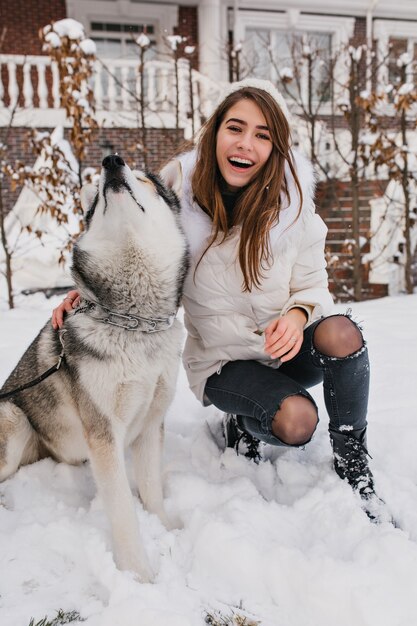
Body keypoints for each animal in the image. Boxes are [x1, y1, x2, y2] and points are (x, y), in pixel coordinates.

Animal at [0, 155, 188, 580]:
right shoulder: (104, 432)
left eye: (144, 179)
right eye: (99, 194)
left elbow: (151, 489)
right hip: (13, 419)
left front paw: (165, 527)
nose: (111, 161)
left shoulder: (151, 422)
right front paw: (140, 575)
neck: (135, 323)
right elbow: (122, 512)